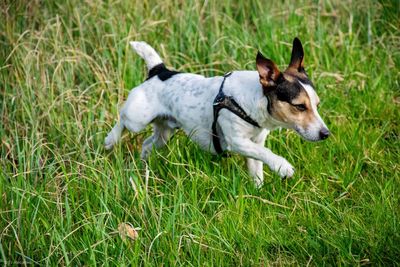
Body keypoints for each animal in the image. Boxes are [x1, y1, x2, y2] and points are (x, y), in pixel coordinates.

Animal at [104, 38, 330, 186]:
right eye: (300, 106)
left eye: (317, 104)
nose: (326, 134)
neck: (254, 101)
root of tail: (159, 71)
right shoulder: (236, 141)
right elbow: (266, 153)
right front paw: (282, 166)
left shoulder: (255, 142)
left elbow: (258, 164)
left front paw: (258, 192)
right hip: (137, 118)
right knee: (122, 118)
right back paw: (110, 139)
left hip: (164, 133)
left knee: (147, 144)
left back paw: (143, 164)